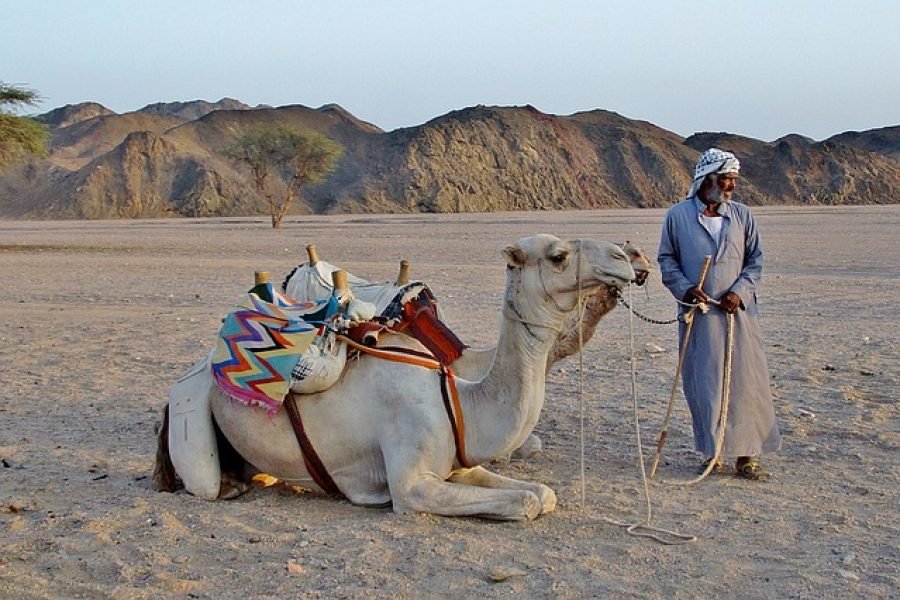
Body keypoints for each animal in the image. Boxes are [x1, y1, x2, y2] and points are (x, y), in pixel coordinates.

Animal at [155, 234, 636, 520]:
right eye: (558, 256)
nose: (625, 258)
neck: (460, 399)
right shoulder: (412, 486)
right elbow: (526, 500)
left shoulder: (460, 465)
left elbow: (541, 493)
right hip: (192, 414)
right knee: (204, 480)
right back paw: (230, 486)